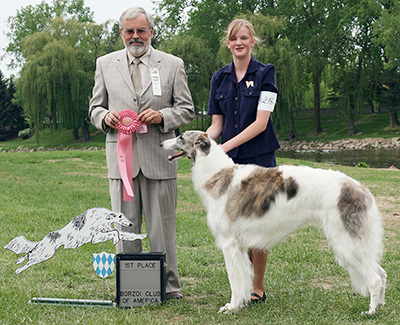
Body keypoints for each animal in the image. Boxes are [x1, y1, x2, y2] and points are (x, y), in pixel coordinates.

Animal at [3, 208, 146, 274]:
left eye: (124, 216)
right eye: (120, 216)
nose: (131, 224)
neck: (102, 217)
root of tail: (45, 238)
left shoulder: (103, 233)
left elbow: (124, 234)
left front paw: (142, 236)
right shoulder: (96, 238)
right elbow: (116, 232)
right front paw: (116, 239)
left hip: (43, 252)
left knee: (29, 254)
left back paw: (18, 261)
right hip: (46, 254)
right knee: (29, 260)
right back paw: (18, 270)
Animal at [161, 130, 386, 314]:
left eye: (180, 137)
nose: (161, 143)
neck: (218, 175)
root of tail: (359, 188)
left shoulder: (229, 244)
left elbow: (235, 281)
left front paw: (232, 307)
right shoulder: (240, 247)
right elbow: (243, 279)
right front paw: (242, 303)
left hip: (345, 243)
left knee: (375, 278)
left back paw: (371, 311)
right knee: (381, 273)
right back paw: (381, 306)